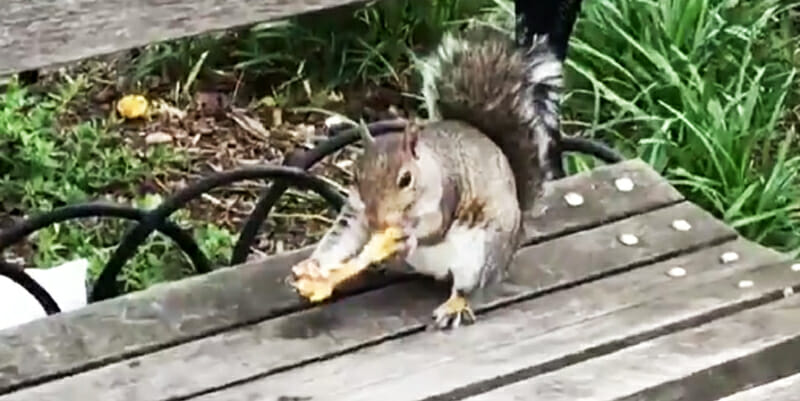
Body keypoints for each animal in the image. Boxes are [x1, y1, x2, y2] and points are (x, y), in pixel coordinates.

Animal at [298, 25, 564, 330]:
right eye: (356, 174)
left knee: (467, 286)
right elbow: (343, 236)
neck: (428, 167)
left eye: (405, 179)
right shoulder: (357, 211)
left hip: (482, 254)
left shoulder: (446, 194)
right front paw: (314, 266)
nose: (378, 222)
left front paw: (409, 236)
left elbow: (434, 227)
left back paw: (454, 305)